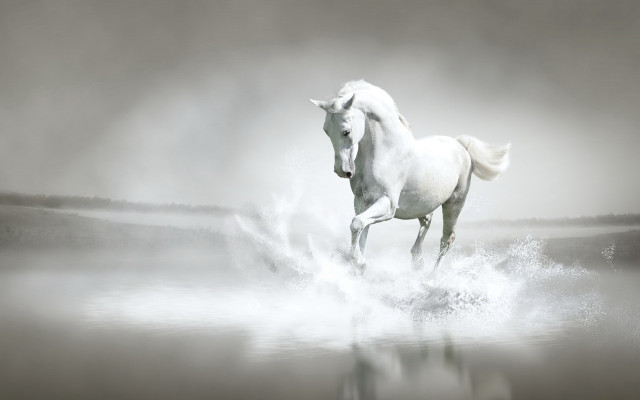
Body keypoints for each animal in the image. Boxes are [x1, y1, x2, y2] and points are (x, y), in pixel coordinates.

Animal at [311, 80, 510, 270]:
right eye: (326, 130)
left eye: (346, 131)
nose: (342, 171)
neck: (386, 153)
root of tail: (460, 145)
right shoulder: (362, 202)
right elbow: (361, 232)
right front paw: (357, 263)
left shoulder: (388, 204)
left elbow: (357, 224)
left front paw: (360, 262)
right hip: (423, 204)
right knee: (427, 222)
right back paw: (417, 262)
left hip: (454, 203)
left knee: (446, 240)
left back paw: (430, 277)